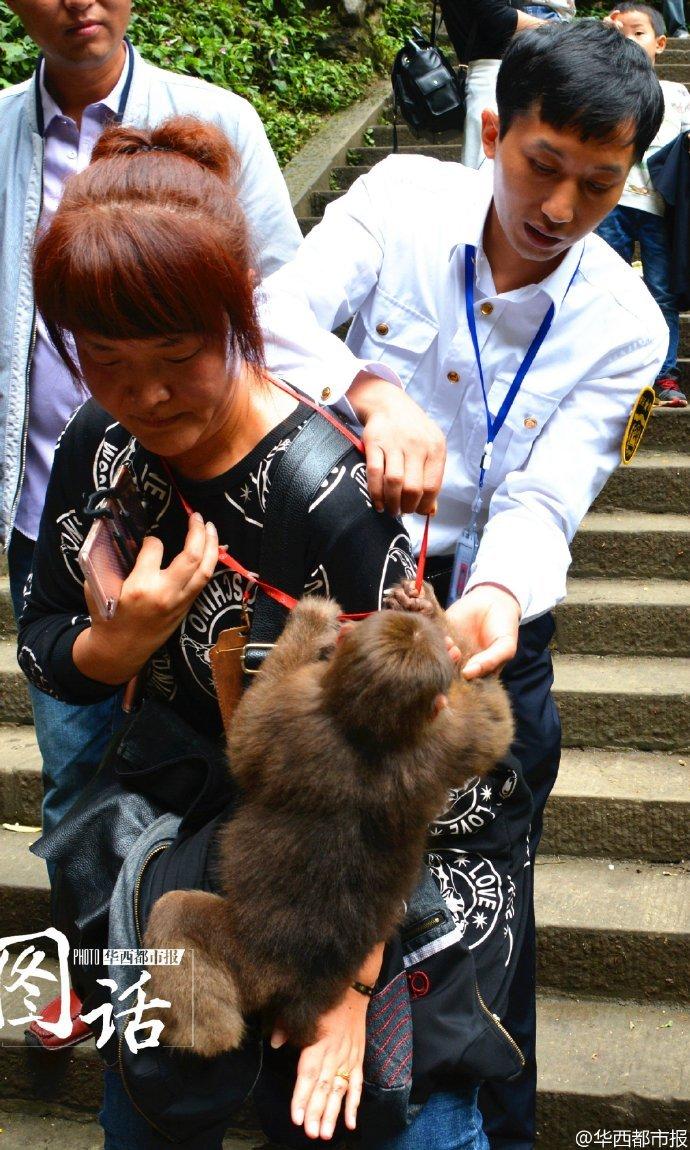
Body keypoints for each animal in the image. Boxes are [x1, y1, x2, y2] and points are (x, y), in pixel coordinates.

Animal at [145, 593, 512, 1058]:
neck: (371, 732)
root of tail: (300, 992)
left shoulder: (291, 708)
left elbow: (244, 736)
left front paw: (311, 619)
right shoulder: (447, 739)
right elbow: (493, 725)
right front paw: (426, 608)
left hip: (245, 957)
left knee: (174, 914)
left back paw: (198, 1038)